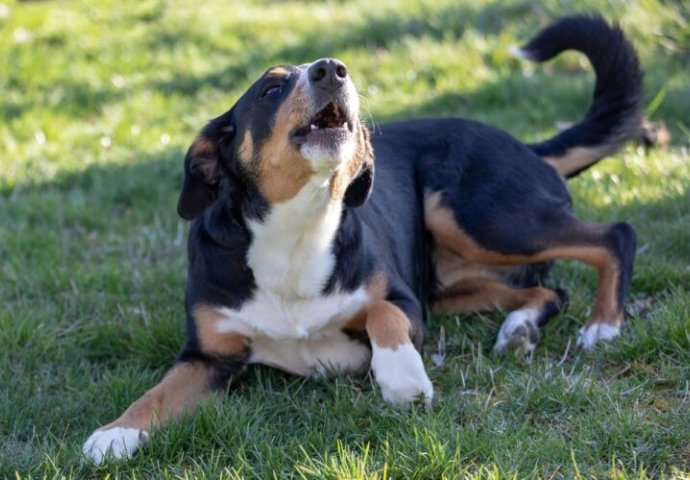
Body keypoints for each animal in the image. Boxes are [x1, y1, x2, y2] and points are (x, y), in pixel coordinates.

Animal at [83, 16, 644, 464]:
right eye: (269, 90)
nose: (332, 69)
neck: (298, 230)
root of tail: (525, 146)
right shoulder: (207, 355)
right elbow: (158, 392)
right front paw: (115, 433)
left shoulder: (407, 304)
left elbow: (381, 312)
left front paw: (402, 377)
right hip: (454, 283)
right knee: (547, 290)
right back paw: (519, 329)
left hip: (477, 215)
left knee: (615, 234)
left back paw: (603, 324)